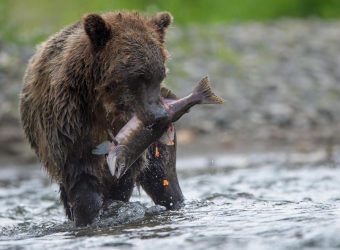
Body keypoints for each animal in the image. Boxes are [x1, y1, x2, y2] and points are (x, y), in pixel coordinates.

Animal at [18, 11, 183, 227]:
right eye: (138, 75)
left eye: (160, 73)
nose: (160, 116)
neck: (104, 105)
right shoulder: (70, 125)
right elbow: (81, 179)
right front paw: (91, 216)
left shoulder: (130, 145)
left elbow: (124, 178)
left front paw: (113, 207)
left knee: (163, 178)